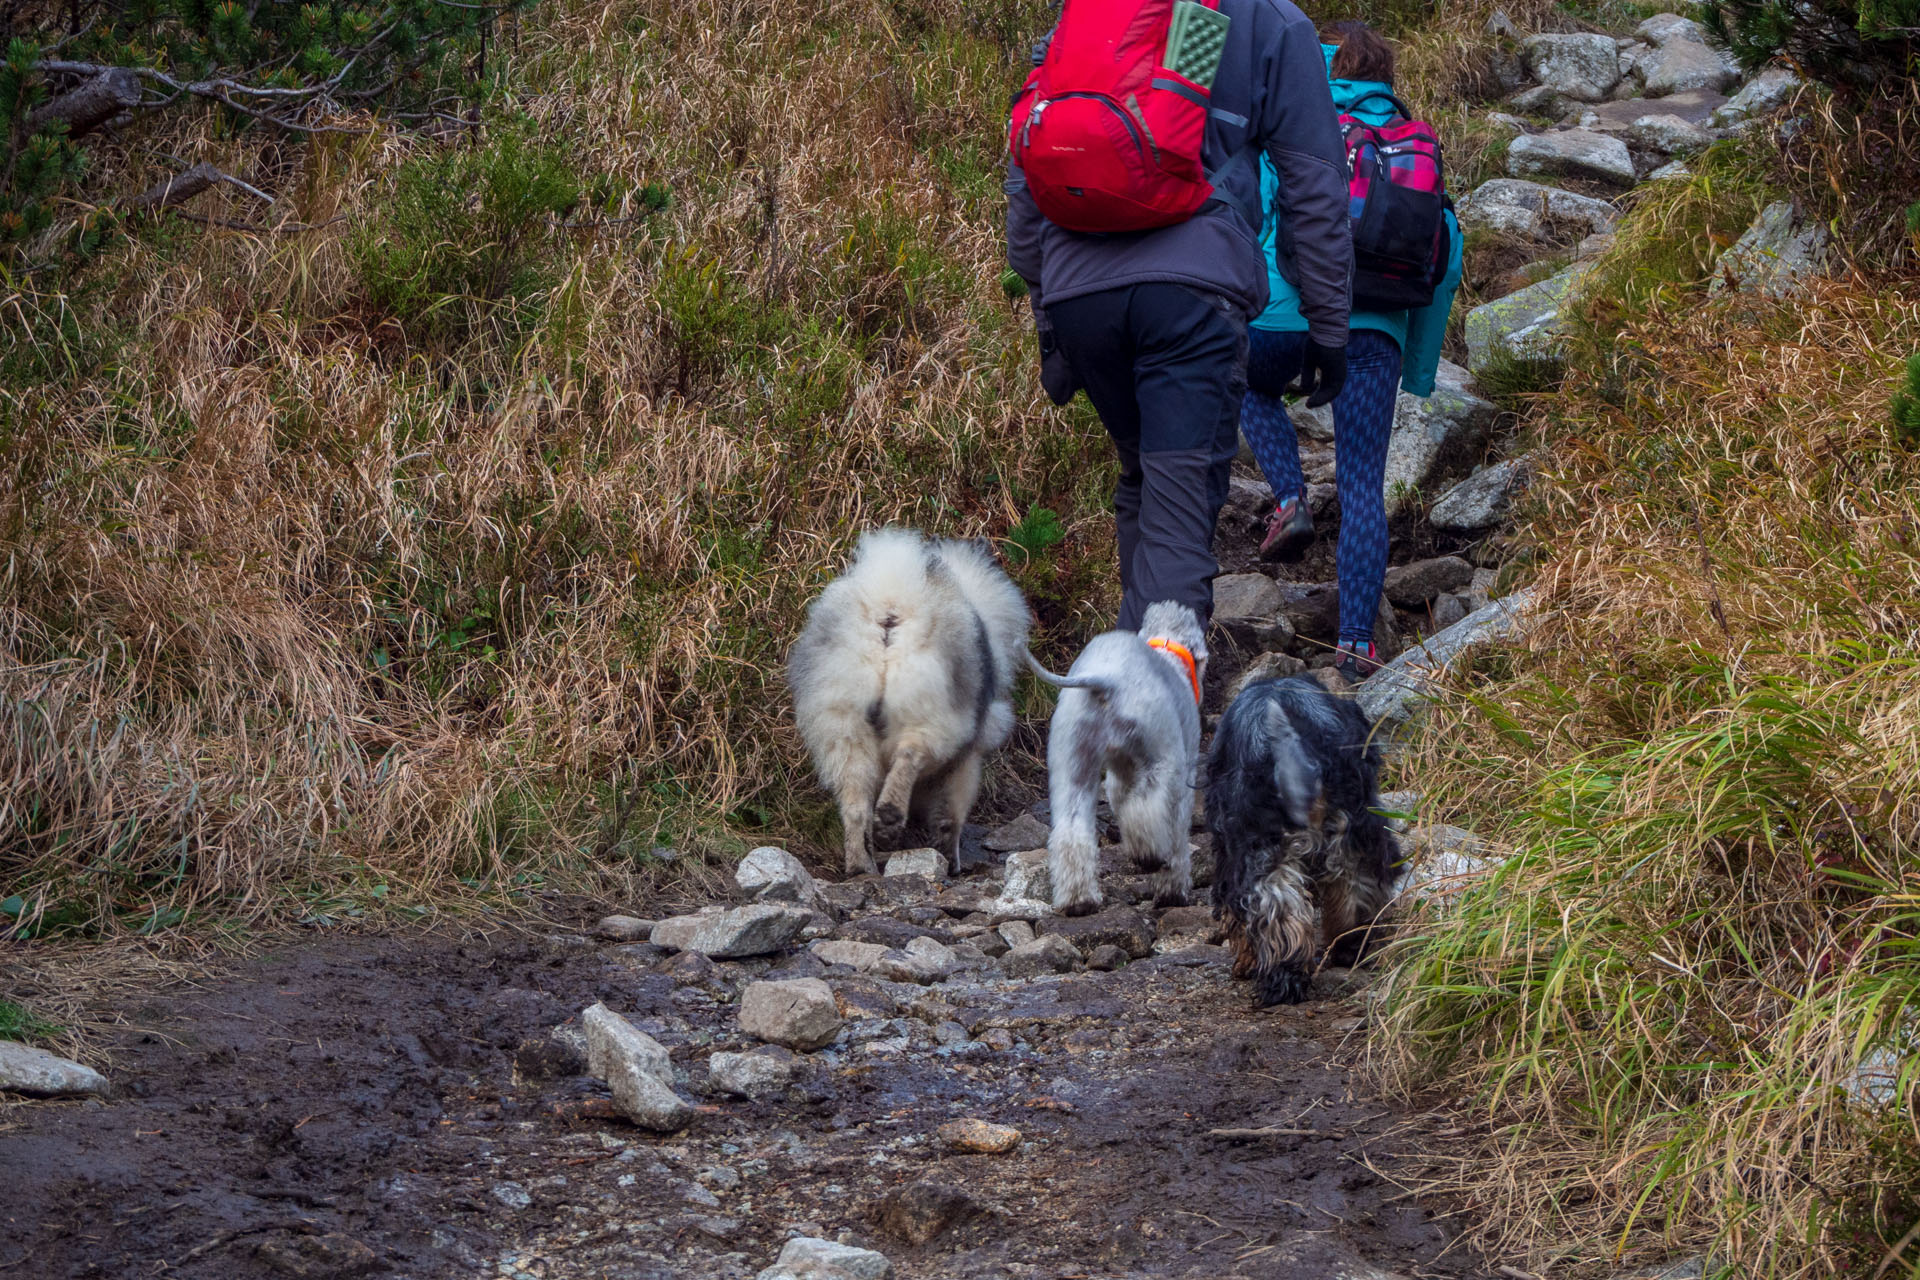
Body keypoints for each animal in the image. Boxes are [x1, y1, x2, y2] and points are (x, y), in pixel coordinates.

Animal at [779, 525, 1029, 875]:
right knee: (909, 755)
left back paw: (861, 865)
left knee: (855, 802)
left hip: (842, 724)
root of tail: (889, 605)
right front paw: (952, 857)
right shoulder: (969, 755)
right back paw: (890, 818)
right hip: (933, 713)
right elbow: (953, 812)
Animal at [1029, 602, 1205, 917]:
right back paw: (1148, 856)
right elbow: (1177, 833)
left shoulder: (1117, 779)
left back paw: (1079, 901)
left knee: (1072, 831)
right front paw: (1173, 891)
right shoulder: (1183, 776)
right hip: (1160, 756)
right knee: (1147, 810)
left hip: (1073, 760)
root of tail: (1107, 679)